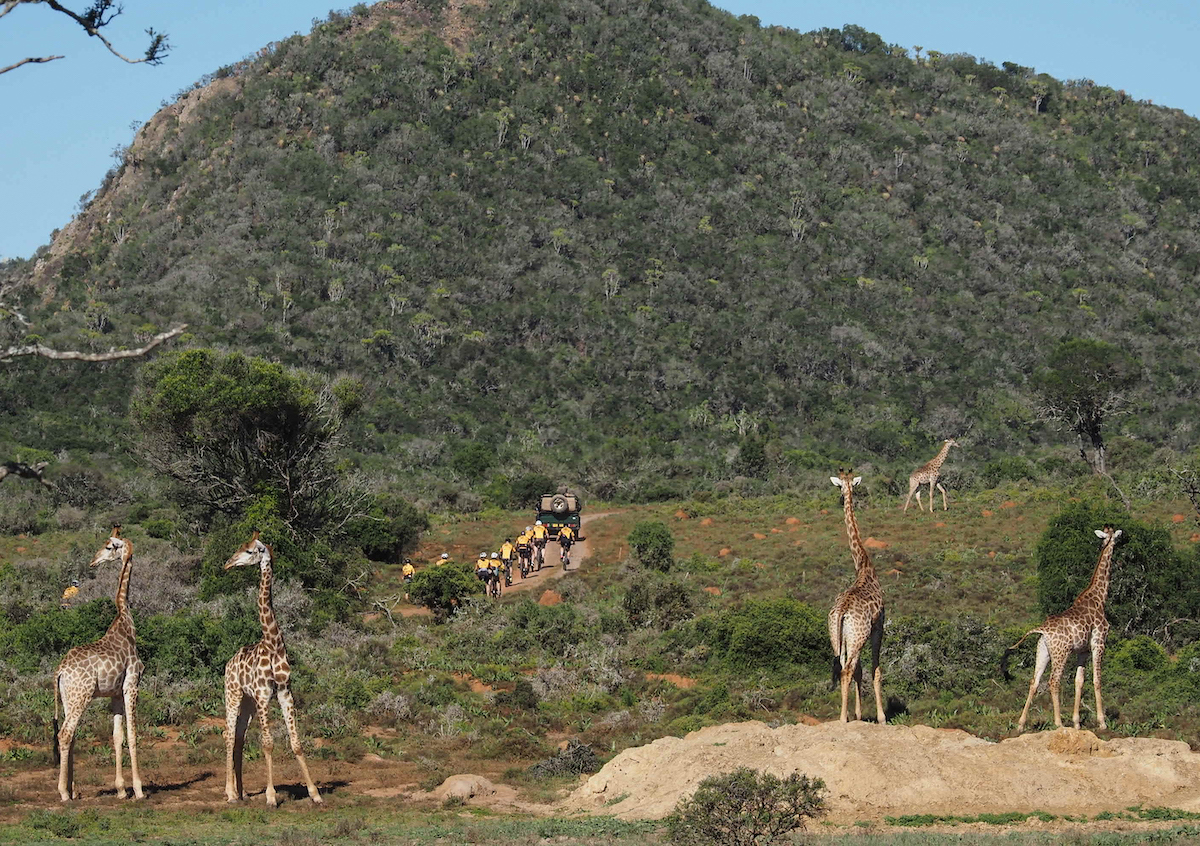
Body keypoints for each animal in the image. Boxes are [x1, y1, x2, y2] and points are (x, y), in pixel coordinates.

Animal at [52, 525, 145, 801]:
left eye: (107, 546)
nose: (93, 562)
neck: (126, 622)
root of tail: (59, 671)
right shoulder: (131, 685)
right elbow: (133, 734)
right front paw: (139, 789)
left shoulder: (114, 693)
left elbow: (117, 737)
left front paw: (121, 790)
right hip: (81, 695)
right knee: (65, 734)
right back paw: (63, 793)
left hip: (69, 698)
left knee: (70, 735)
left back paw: (73, 790)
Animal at [223, 528, 321, 806]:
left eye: (248, 550)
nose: (227, 563)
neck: (274, 644)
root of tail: (228, 664)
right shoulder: (264, 694)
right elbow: (267, 742)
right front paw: (271, 796)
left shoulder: (285, 692)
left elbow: (296, 742)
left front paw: (315, 794)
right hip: (233, 695)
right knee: (228, 735)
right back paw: (230, 793)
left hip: (247, 702)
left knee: (239, 738)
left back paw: (242, 793)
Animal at [1003, 528, 1123, 734]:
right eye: (1115, 536)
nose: (1120, 541)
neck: (1099, 597)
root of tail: (1042, 629)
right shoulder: (1098, 642)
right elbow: (1097, 679)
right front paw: (1102, 722)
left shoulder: (1082, 650)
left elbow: (1079, 681)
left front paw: (1076, 723)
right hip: (1061, 653)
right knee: (1053, 681)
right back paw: (1058, 723)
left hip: (1043, 650)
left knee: (1034, 681)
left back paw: (1020, 724)